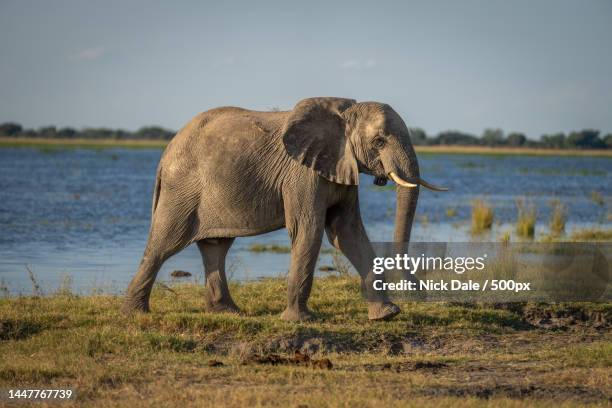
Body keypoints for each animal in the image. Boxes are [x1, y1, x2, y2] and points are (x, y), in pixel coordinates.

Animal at [120, 96, 444, 322]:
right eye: (378, 141)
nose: (422, 293)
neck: (344, 113)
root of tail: (165, 152)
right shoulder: (302, 175)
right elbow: (309, 230)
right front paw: (299, 321)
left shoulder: (341, 167)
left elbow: (347, 233)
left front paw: (387, 314)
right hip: (182, 189)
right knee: (165, 243)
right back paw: (135, 314)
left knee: (216, 247)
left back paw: (228, 312)